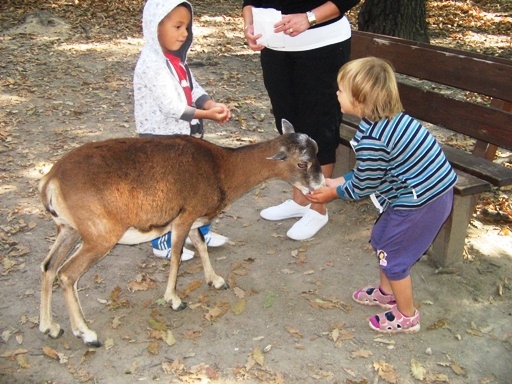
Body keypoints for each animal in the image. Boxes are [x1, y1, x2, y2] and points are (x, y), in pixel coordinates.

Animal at [39, 119, 324, 344]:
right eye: (302, 163)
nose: (321, 186)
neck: (222, 169)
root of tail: (51, 181)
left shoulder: (195, 219)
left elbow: (201, 244)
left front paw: (216, 281)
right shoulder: (184, 216)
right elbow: (177, 255)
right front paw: (175, 300)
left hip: (68, 229)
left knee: (49, 266)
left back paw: (50, 327)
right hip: (100, 236)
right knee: (67, 274)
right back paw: (86, 334)